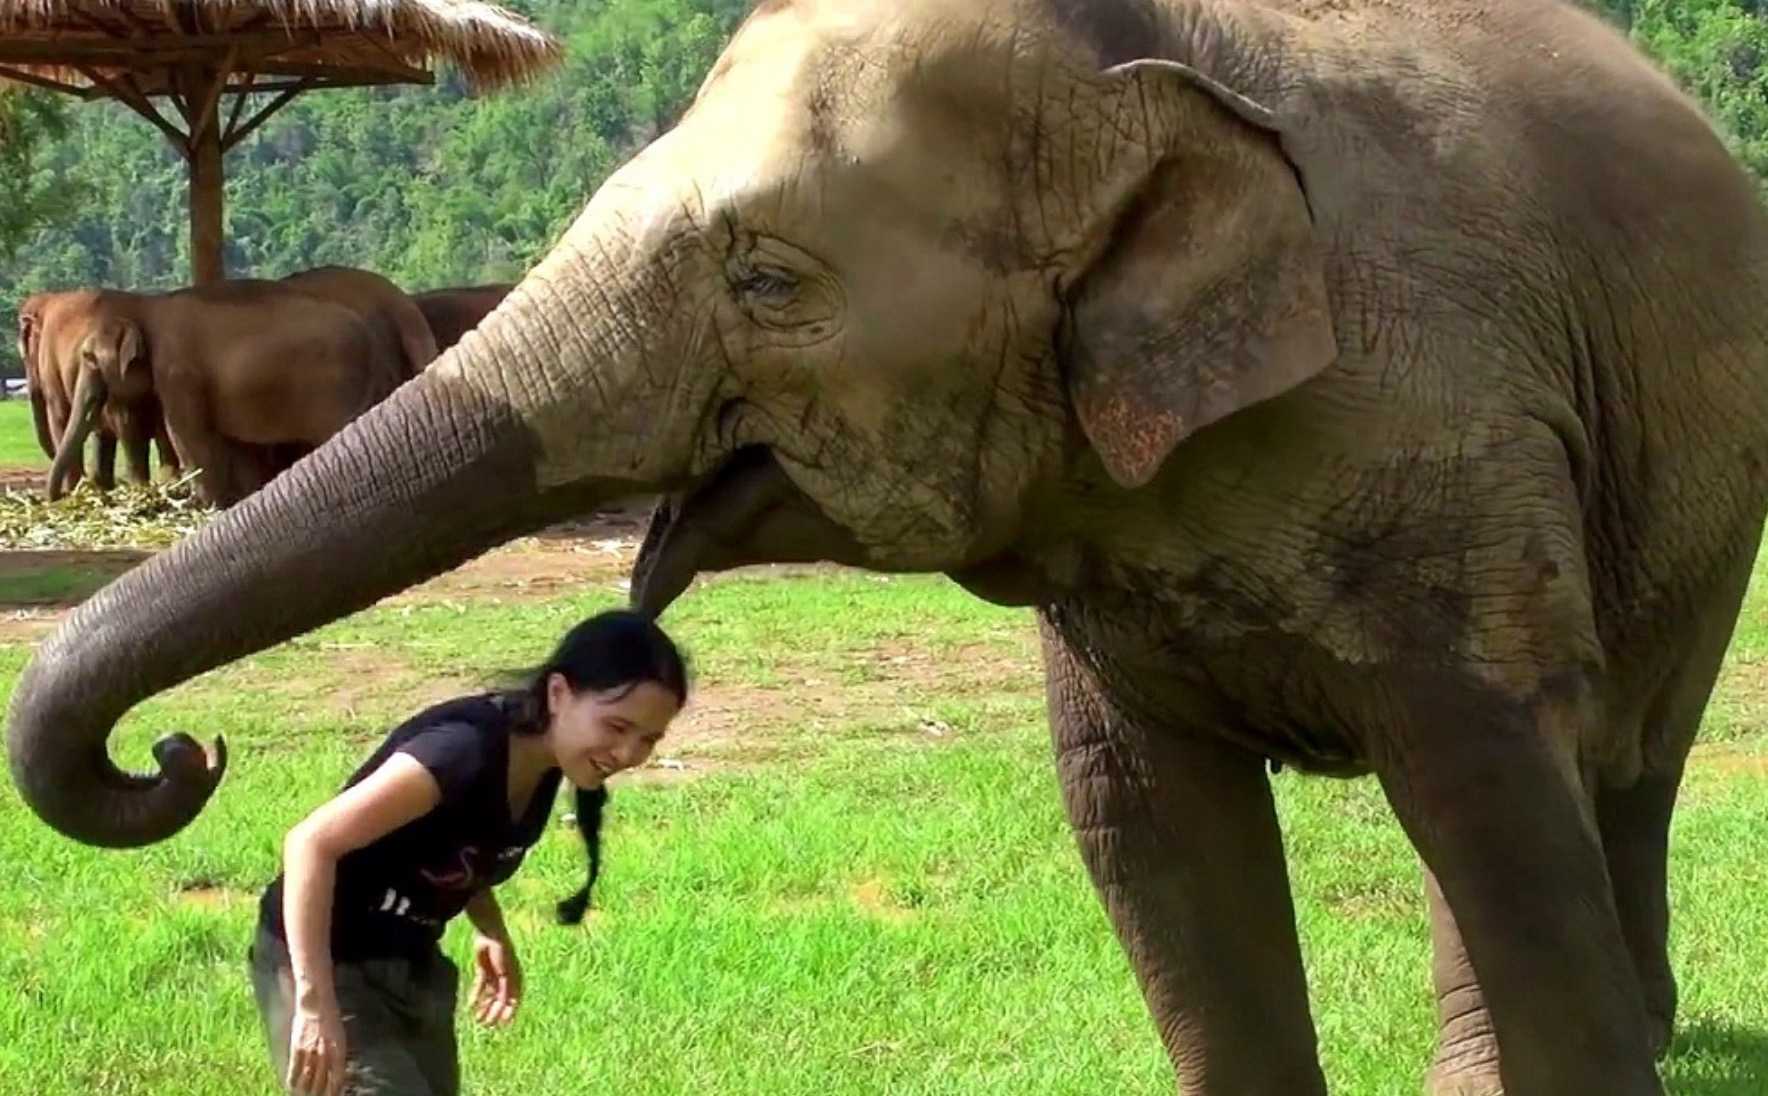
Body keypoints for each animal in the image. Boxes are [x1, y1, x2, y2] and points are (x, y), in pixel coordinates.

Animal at [49, 281, 410, 505]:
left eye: (88, 358)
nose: (56, 499)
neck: (144, 305)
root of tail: (371, 339)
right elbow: (235, 445)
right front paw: (239, 499)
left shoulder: (179, 373)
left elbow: (188, 436)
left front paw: (202, 504)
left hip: (337, 390)